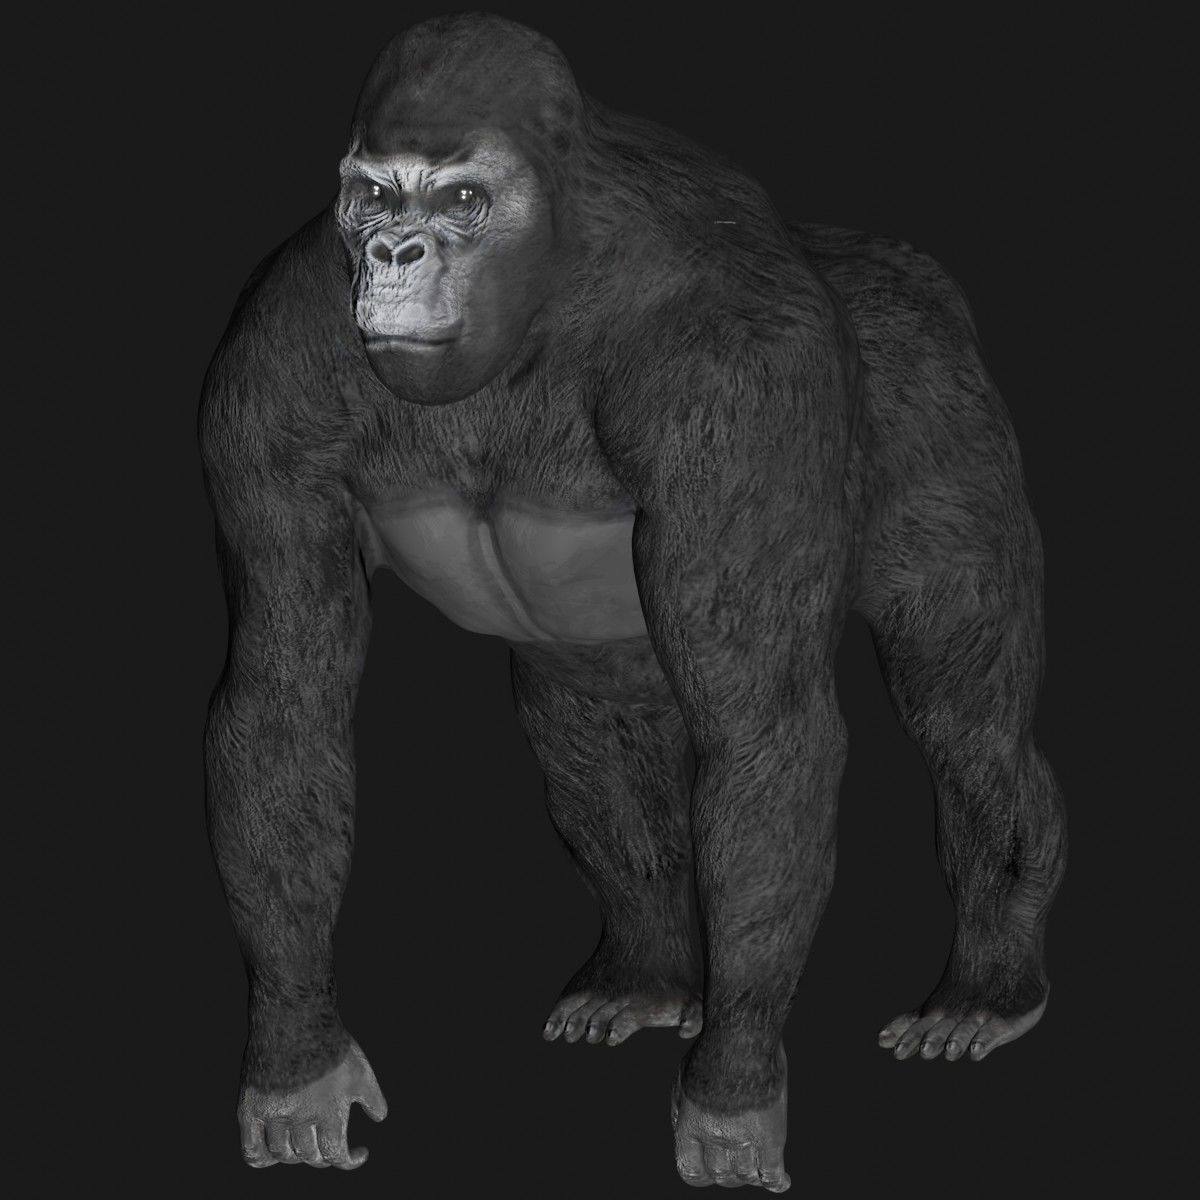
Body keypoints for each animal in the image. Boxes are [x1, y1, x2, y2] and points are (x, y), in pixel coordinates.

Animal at [198, 12, 1066, 1189]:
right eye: (375, 195)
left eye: (461, 199)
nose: (393, 254)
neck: (546, 289)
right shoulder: (268, 368)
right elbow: (285, 698)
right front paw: (298, 1066)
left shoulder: (741, 379)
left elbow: (759, 726)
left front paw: (733, 1092)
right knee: (584, 721)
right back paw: (647, 980)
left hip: (946, 416)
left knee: (964, 724)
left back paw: (987, 989)